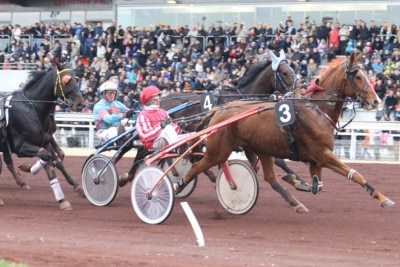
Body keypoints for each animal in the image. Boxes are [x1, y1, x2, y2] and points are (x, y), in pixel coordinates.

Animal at [0, 63, 84, 209]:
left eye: (76, 79)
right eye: (66, 80)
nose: (80, 104)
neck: (31, 108)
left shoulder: (45, 141)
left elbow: (56, 160)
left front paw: (76, 187)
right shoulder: (20, 147)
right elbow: (47, 157)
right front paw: (62, 199)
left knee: (8, 161)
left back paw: (21, 182)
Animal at [177, 51, 396, 213]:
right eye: (358, 76)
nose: (376, 101)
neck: (317, 110)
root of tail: (219, 110)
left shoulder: (315, 160)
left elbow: (318, 185)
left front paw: (300, 183)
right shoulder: (323, 154)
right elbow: (356, 174)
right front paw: (383, 198)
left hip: (260, 149)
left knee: (270, 178)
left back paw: (295, 203)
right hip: (218, 150)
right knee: (197, 166)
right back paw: (179, 185)